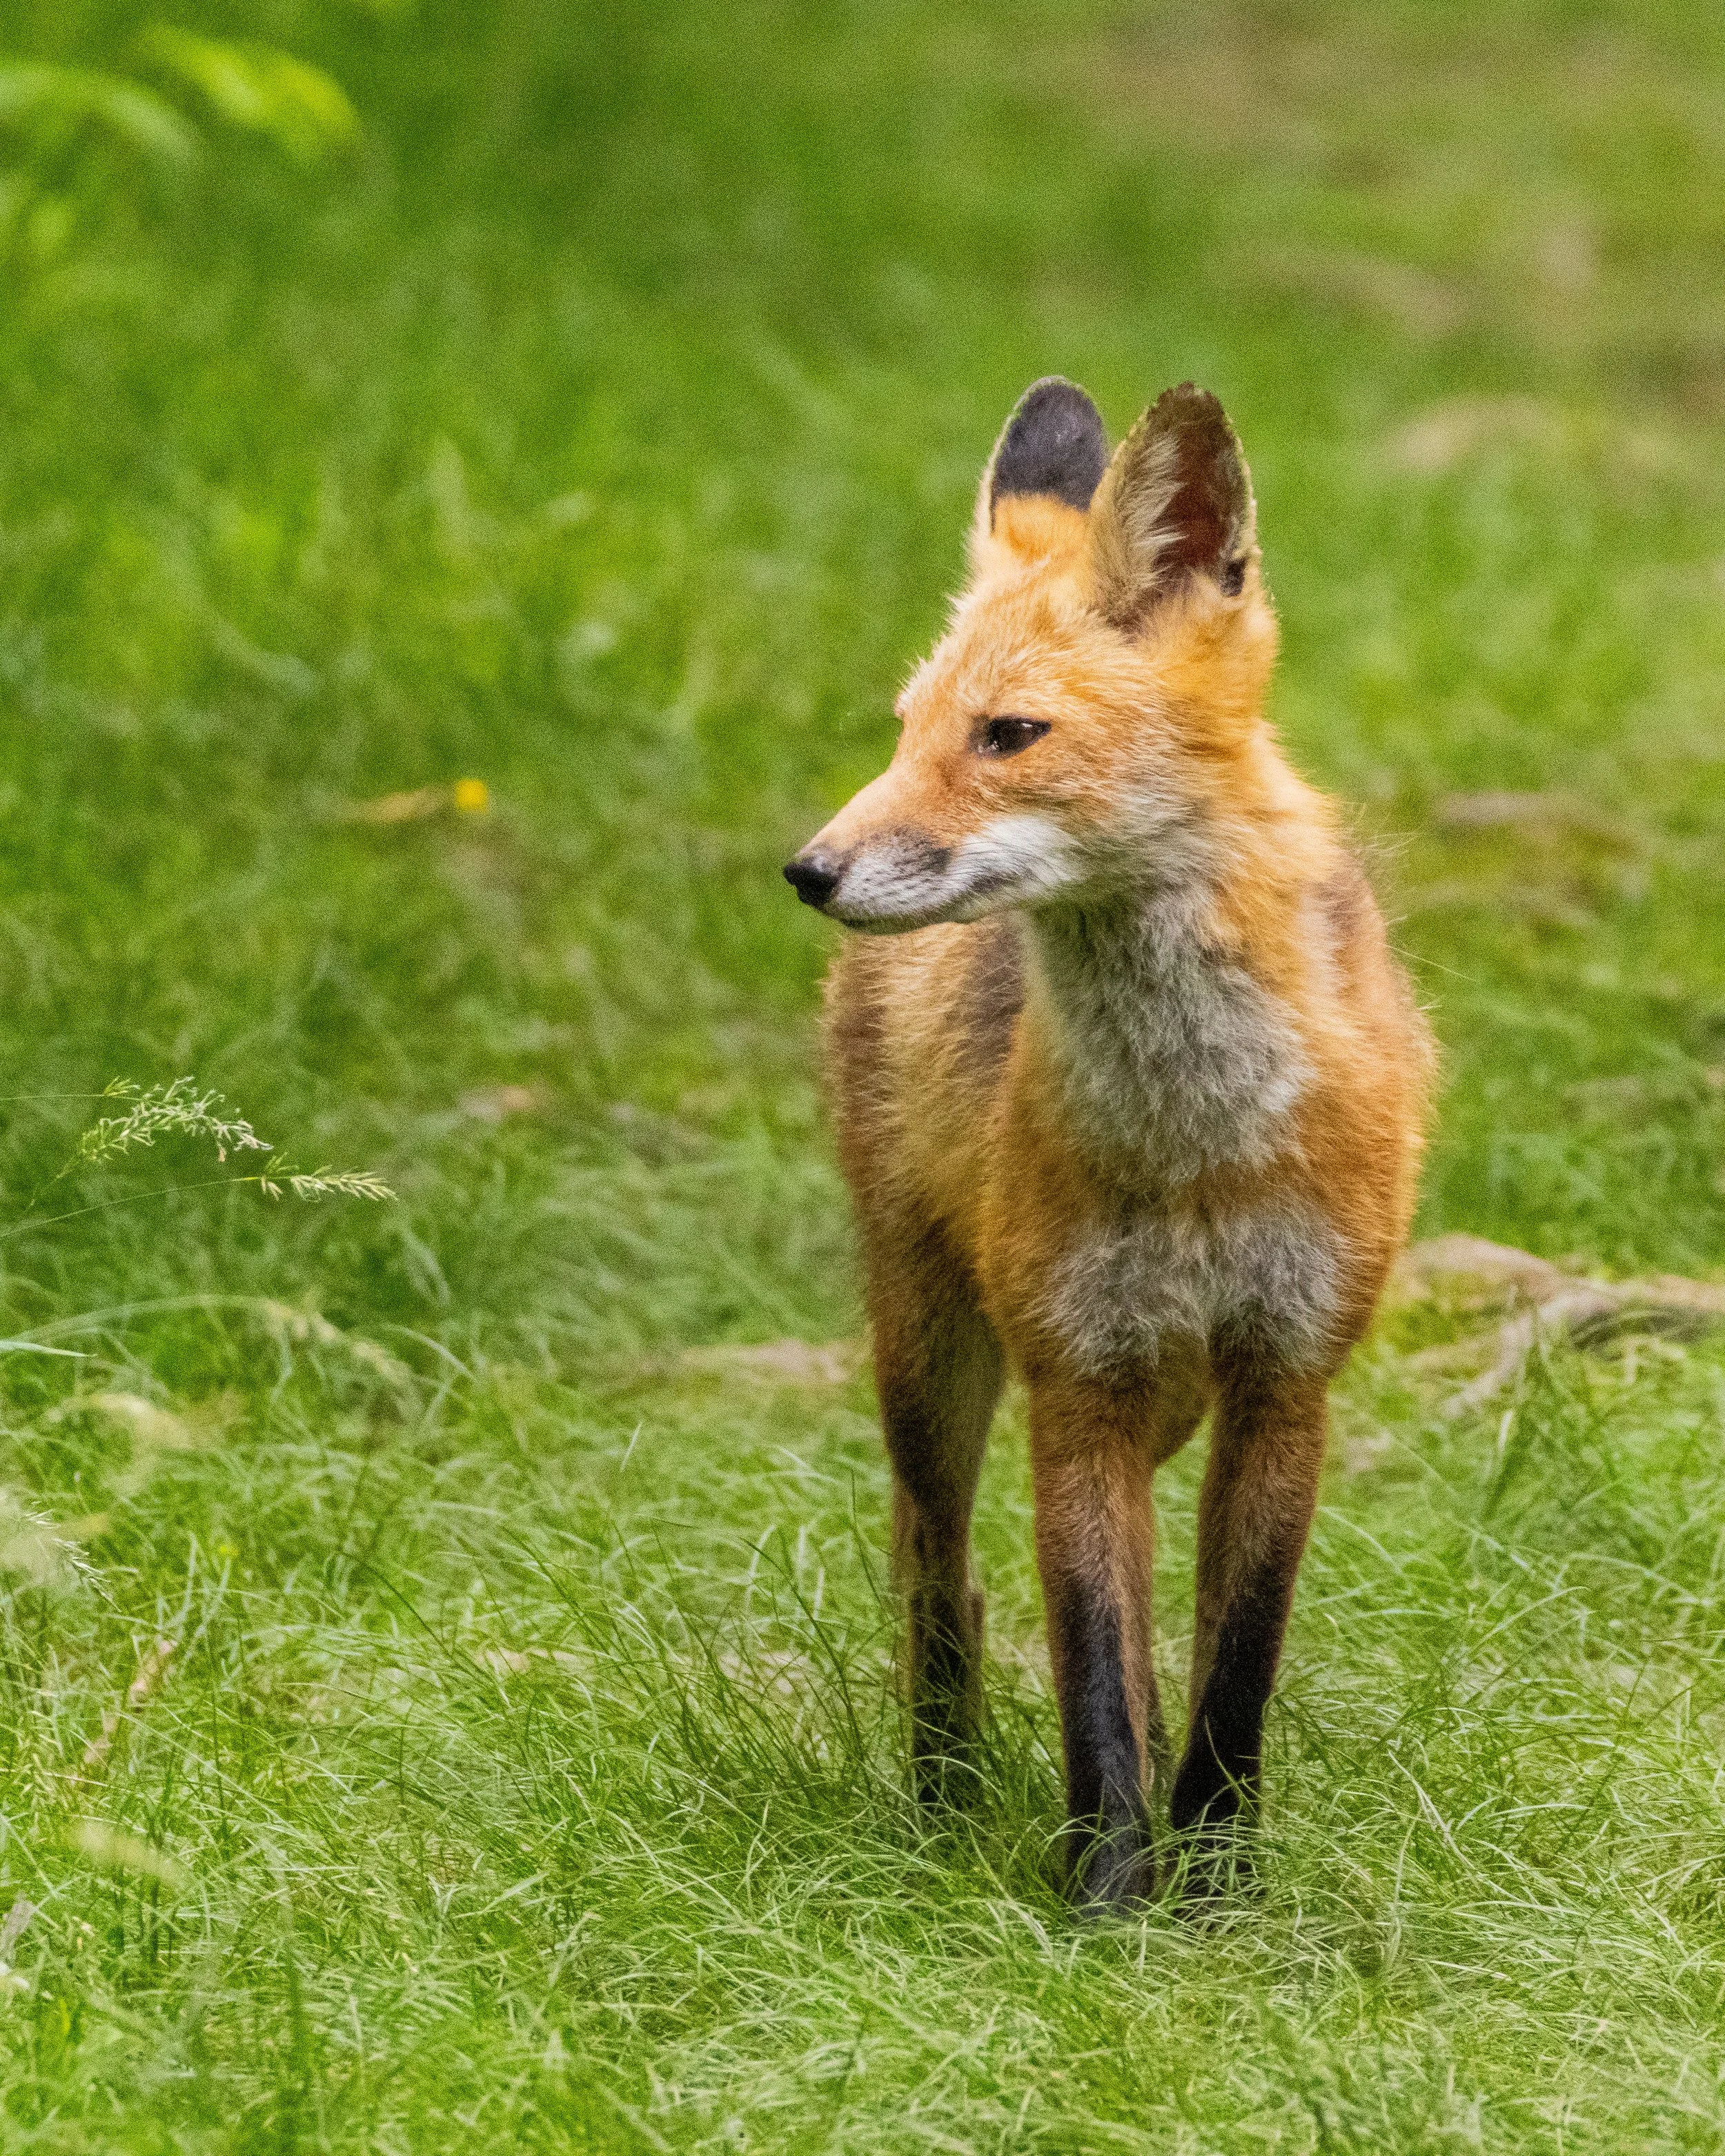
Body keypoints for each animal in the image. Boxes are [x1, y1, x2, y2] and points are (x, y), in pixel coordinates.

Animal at [784, 377, 1434, 1908]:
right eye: (903, 727)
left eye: (1006, 734)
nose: (809, 869)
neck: (1197, 1139)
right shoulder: (1078, 1376)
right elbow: (1091, 1668)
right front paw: (1105, 1895)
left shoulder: (1282, 1381)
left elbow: (1230, 1666)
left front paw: (1216, 1882)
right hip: (933, 1354)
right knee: (939, 1569)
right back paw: (943, 1799)